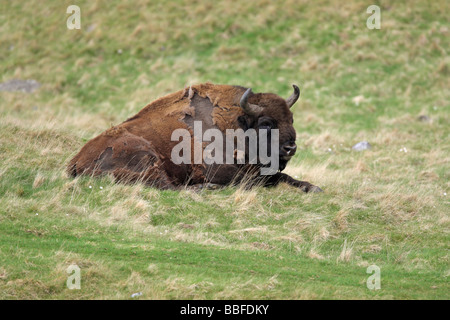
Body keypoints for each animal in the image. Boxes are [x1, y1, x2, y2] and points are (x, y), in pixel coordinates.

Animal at [67, 83, 322, 192]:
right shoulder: (219, 170)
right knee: (167, 187)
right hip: (144, 155)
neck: (235, 125)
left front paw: (312, 187)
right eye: (266, 123)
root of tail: (76, 161)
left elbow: (284, 176)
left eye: (291, 118)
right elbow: (256, 180)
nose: (290, 148)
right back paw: (205, 188)